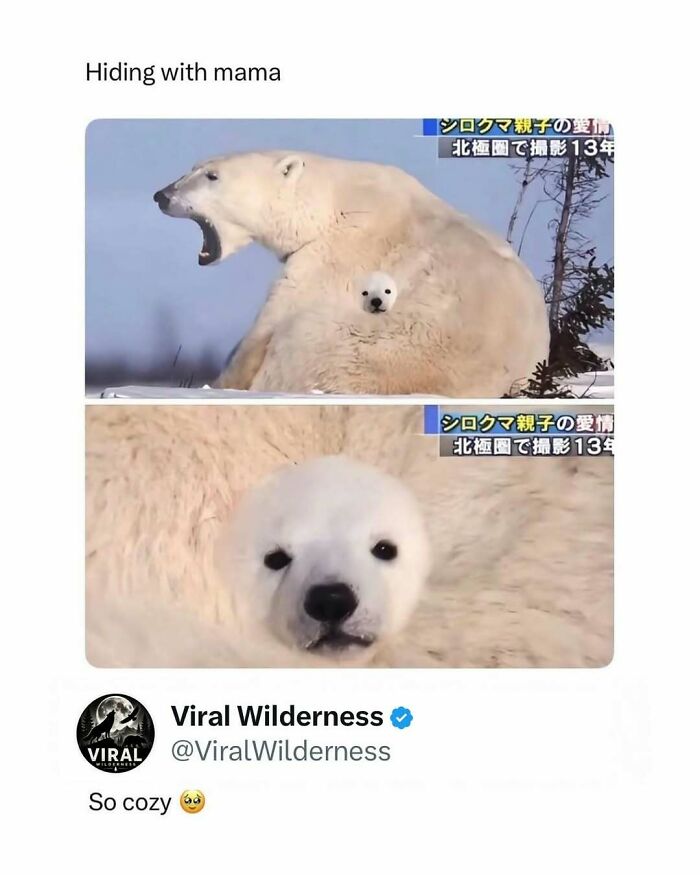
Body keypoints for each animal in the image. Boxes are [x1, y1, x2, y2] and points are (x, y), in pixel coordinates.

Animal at [154, 151, 550, 396]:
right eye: (192, 168)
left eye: (212, 175)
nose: (162, 195)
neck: (331, 202)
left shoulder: (336, 254)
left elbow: (271, 320)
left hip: (361, 349)